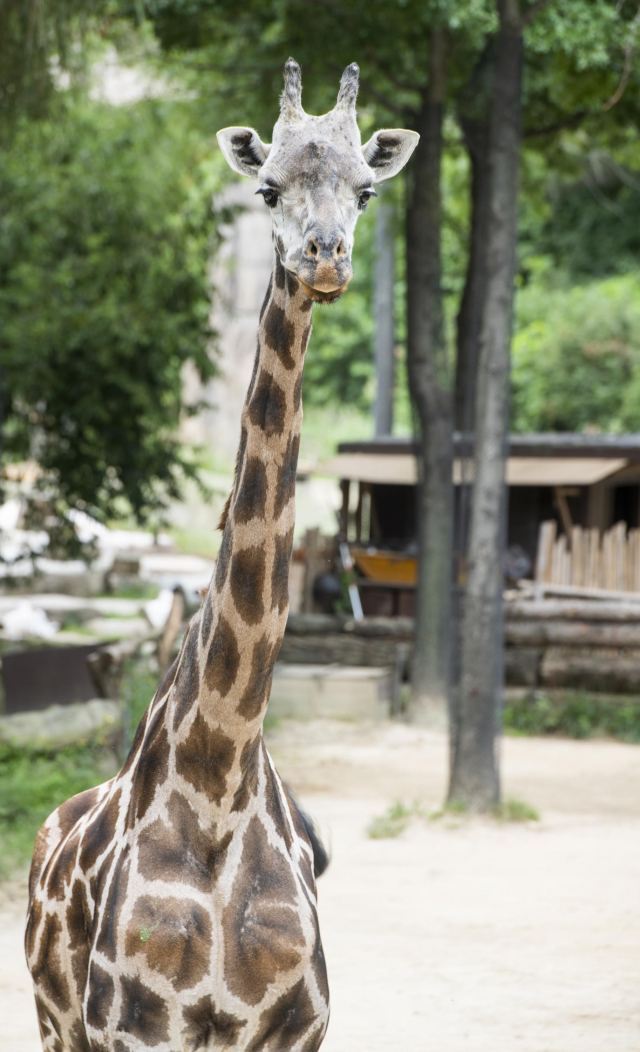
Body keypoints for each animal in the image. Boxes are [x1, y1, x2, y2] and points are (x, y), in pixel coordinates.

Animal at [23, 59, 421, 1052]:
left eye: (366, 189)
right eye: (267, 187)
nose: (325, 257)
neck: (219, 775)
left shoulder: (295, 1030)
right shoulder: (133, 1027)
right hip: (55, 1023)